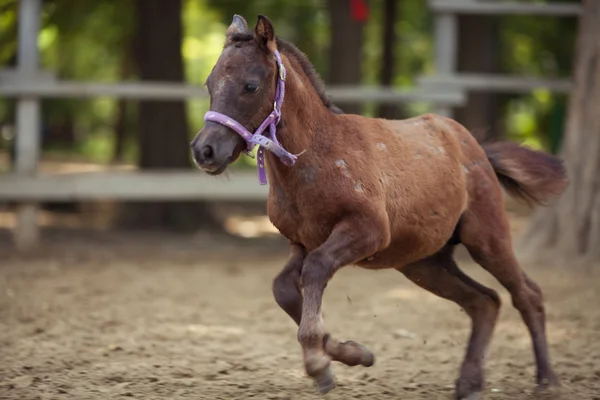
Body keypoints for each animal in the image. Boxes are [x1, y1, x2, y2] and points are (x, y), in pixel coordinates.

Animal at [190, 14, 568, 398]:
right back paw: (469, 383)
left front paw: (319, 361)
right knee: (484, 301)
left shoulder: (368, 230)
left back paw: (547, 380)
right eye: (209, 83)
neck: (317, 156)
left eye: (250, 85)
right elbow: (283, 288)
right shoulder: (300, 241)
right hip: (424, 263)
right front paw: (352, 354)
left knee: (526, 295)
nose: (204, 150)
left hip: (487, 239)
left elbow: (316, 269)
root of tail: (474, 146)